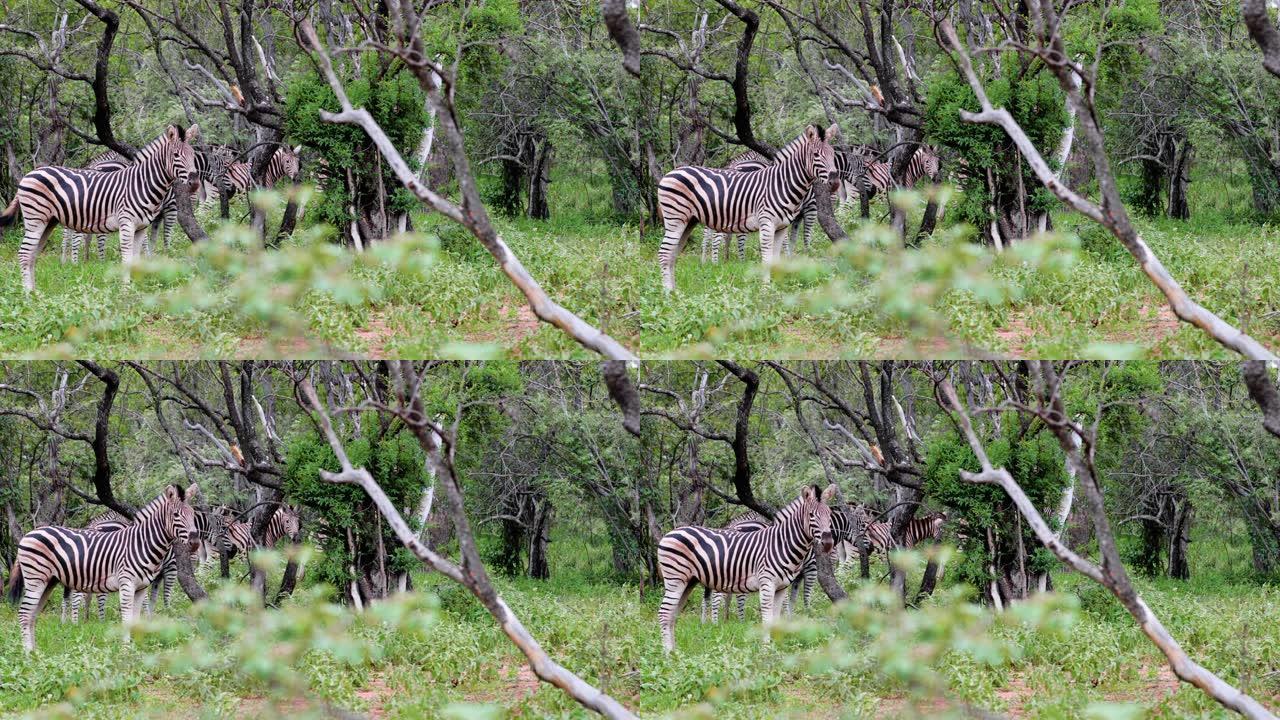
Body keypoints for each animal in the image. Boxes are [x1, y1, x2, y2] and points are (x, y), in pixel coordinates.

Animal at [0, 124, 199, 289]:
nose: (195, 183)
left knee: (33, 254)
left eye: (193, 156)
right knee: (24, 254)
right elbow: (127, 258)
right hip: (35, 218)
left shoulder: (141, 227)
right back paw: (28, 294)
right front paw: (125, 290)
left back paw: (35, 293)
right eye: (176, 155)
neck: (142, 183)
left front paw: (134, 289)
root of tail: (30, 173)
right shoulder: (127, 223)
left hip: (48, 221)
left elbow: (136, 259)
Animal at [5, 481, 197, 650]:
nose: (195, 542)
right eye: (176, 515)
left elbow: (136, 619)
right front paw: (126, 649)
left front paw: (135, 649)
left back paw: (35, 652)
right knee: (24, 613)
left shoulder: (142, 587)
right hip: (35, 578)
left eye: (193, 514)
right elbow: (127, 617)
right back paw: (28, 654)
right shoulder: (127, 583)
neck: (142, 543)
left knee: (32, 614)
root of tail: (29, 533)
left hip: (49, 581)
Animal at [655, 122, 844, 288]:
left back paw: (675, 292)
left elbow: (776, 259)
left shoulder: (781, 227)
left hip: (689, 221)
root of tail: (670, 173)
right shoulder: (767, 223)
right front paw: (765, 289)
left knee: (673, 254)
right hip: (675, 218)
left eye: (832, 154)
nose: (835, 183)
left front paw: (774, 290)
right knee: (664, 253)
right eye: (816, 155)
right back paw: (667, 294)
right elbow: (767, 259)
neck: (782, 183)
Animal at [660, 481, 839, 650]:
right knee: (664, 613)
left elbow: (776, 619)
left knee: (672, 615)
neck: (782, 543)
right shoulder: (767, 583)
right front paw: (765, 649)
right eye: (811, 515)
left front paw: (775, 649)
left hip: (688, 581)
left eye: (829, 515)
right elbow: (767, 618)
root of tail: (669, 533)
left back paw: (675, 653)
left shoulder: (781, 587)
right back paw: (668, 654)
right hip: (675, 579)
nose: (828, 543)